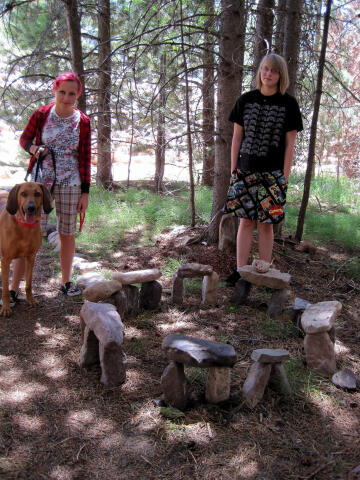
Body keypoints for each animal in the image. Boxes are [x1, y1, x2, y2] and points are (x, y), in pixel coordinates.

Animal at [0, 182, 52, 316]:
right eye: (23, 194)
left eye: (37, 194)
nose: (31, 208)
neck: (24, 227)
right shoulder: (6, 260)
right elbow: (6, 289)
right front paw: (6, 307)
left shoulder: (31, 258)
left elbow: (28, 284)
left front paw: (31, 300)